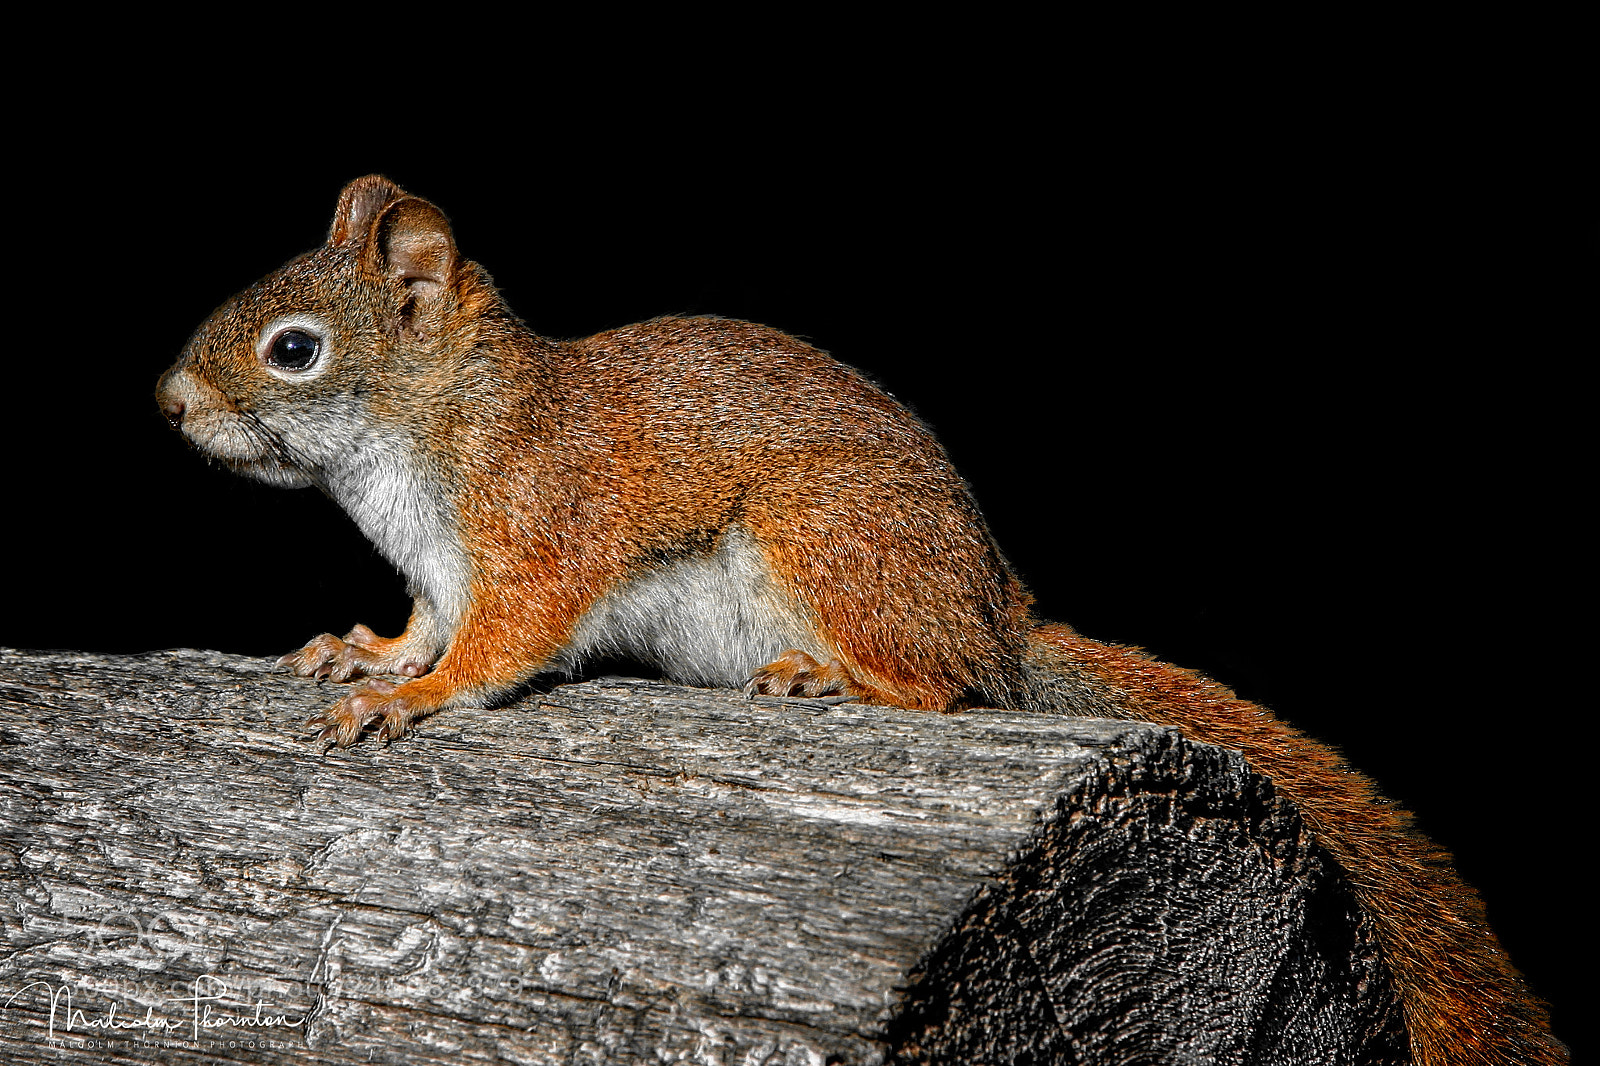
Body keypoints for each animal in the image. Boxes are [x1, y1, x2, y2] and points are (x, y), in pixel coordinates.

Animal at [155, 175, 1562, 1064]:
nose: (169, 402)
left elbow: (502, 646)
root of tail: (995, 613)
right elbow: (427, 621)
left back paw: (842, 681)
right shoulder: (443, 571)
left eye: (293, 349)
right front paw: (369, 651)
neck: (424, 430)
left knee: (944, 684)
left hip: (826, 538)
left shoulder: (537, 531)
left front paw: (410, 697)